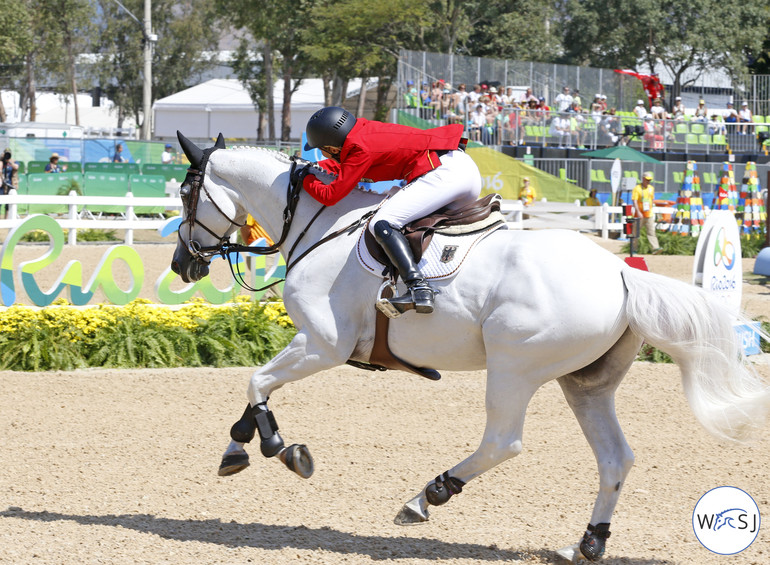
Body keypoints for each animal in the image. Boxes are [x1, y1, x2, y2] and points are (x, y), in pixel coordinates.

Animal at [171, 134, 764, 560]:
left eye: (185, 193)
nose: (181, 264)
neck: (316, 225)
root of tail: (621, 272)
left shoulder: (322, 344)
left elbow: (258, 381)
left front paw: (275, 448)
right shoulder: (317, 347)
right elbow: (256, 387)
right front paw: (241, 444)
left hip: (513, 368)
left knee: (503, 443)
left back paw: (424, 498)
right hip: (584, 384)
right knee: (615, 457)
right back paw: (586, 543)